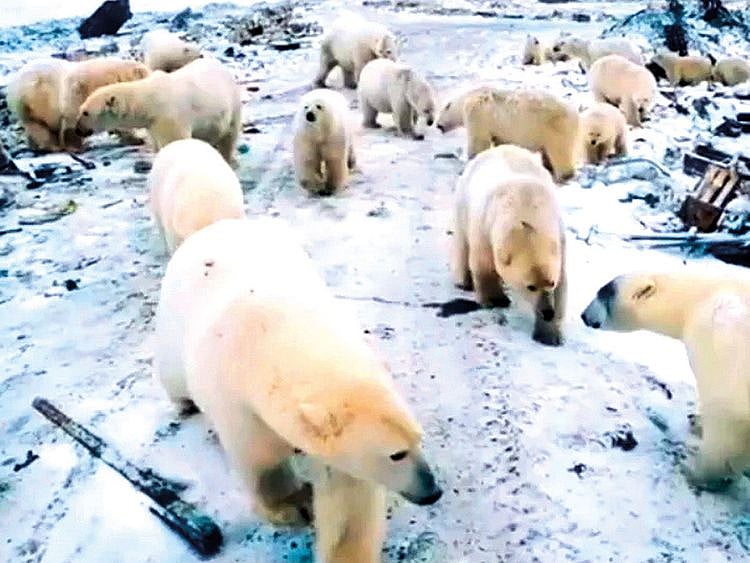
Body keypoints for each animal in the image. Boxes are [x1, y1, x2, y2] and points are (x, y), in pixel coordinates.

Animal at [75, 58, 241, 163]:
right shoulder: (152, 125)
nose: (77, 130)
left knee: (229, 136)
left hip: (232, 105)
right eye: (81, 109)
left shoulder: (169, 118)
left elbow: (175, 141)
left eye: (85, 112)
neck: (149, 100)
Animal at [153, 217, 442, 561]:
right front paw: (294, 507)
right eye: (396, 454)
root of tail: (214, 226)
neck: (275, 335)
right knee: (173, 373)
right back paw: (185, 404)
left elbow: (348, 498)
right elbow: (262, 461)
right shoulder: (238, 403)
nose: (433, 491)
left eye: (418, 438)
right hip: (174, 325)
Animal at [452, 145, 567, 346]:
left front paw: (550, 335)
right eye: (530, 286)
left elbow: (562, 285)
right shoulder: (486, 227)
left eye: (550, 282)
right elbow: (484, 265)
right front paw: (495, 299)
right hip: (463, 202)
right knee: (462, 241)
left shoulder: (558, 236)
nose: (547, 312)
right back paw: (464, 281)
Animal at [581, 272, 750, 489]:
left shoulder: (722, 350)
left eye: (604, 294)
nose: (584, 315)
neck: (696, 301)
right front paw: (696, 420)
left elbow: (726, 428)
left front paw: (690, 470)